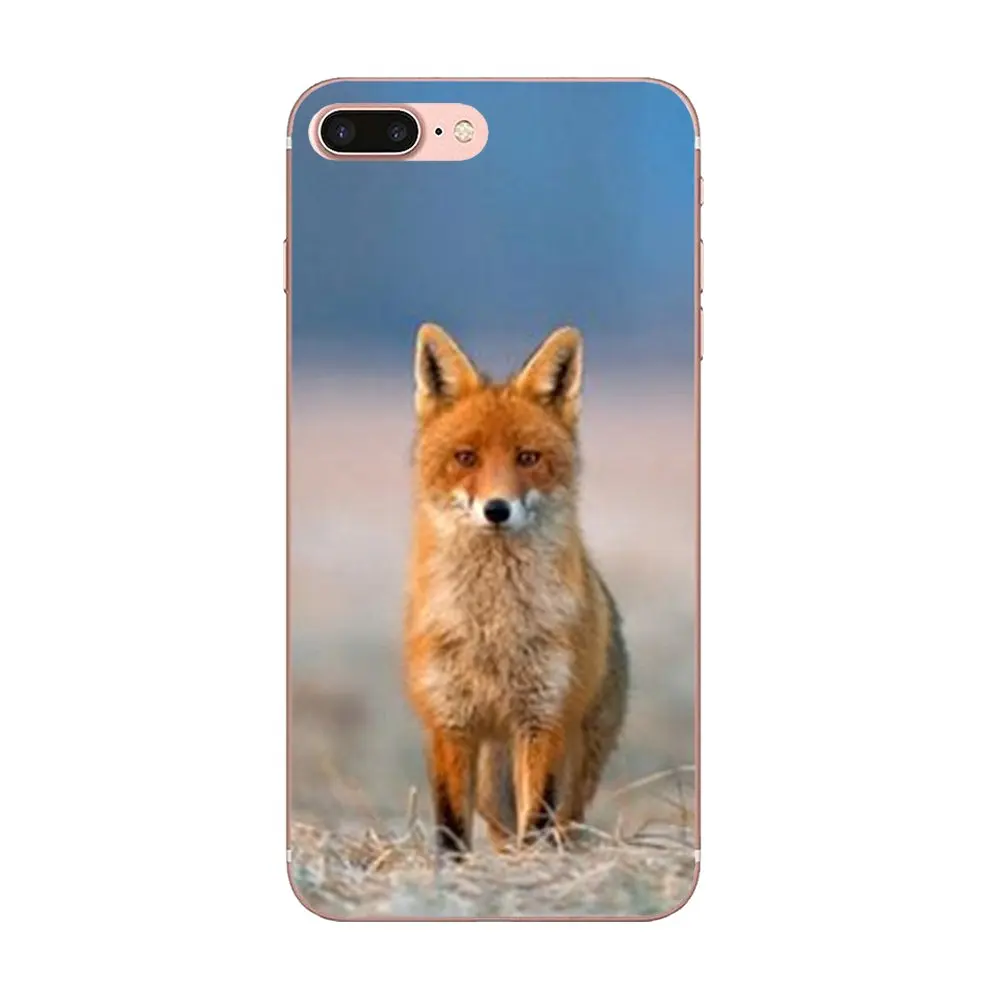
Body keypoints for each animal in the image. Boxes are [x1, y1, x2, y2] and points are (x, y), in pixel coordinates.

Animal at [403, 322, 629, 856]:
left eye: (528, 458)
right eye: (466, 458)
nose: (497, 509)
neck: (493, 629)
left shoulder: (543, 718)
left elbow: (538, 818)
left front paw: (535, 871)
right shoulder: (448, 720)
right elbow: (450, 825)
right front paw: (453, 872)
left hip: (576, 762)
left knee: (564, 822)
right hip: (491, 784)